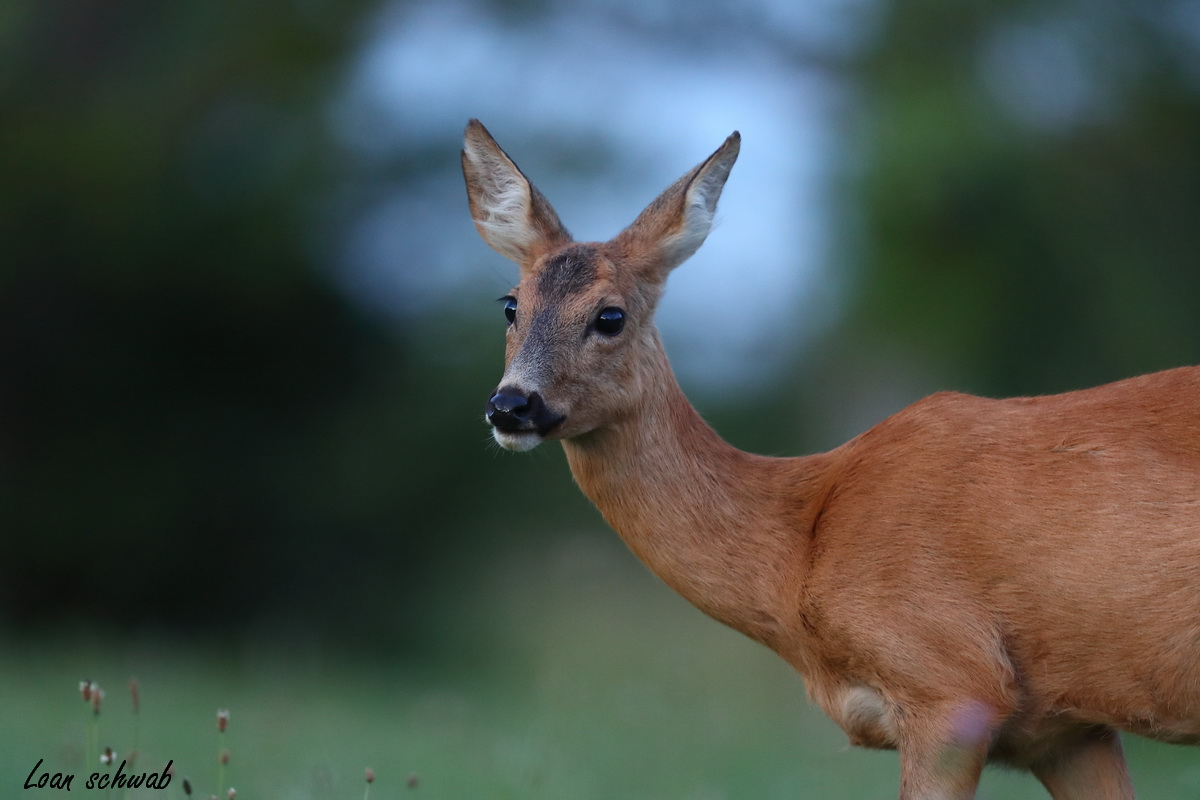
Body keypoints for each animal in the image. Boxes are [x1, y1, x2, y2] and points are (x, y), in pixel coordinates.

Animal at [458, 120, 1200, 800]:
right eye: (511, 305)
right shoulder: (1068, 729)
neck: (804, 540)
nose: (511, 405)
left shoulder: (951, 686)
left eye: (609, 316)